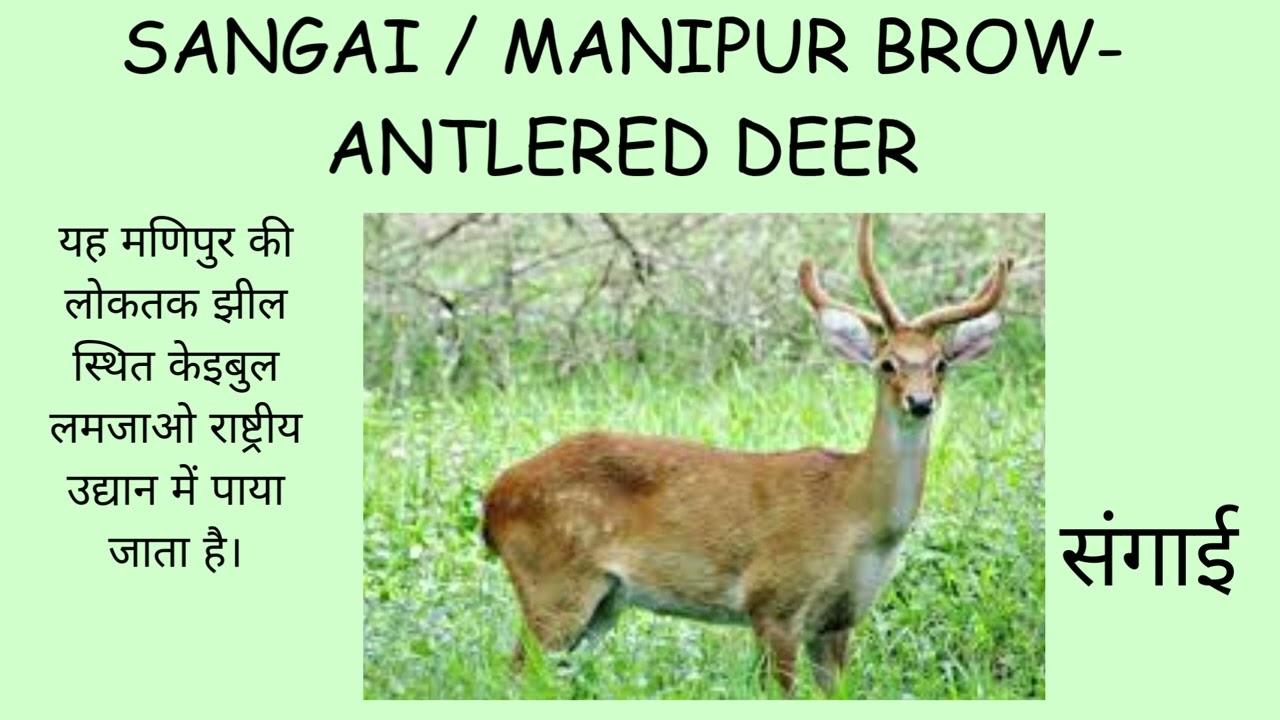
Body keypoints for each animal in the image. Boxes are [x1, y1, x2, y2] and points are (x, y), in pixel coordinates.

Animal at [480, 214, 1014, 695]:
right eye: (887, 364)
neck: (858, 515)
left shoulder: (839, 620)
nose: (920, 402)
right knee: (517, 675)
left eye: (941, 364)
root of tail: (492, 502)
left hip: (604, 601)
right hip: (553, 583)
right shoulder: (773, 599)